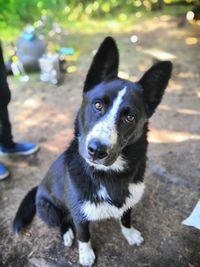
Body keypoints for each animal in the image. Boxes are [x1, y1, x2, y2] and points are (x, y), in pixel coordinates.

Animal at [12, 37, 172, 267]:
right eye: (98, 105)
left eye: (130, 117)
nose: (97, 150)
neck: (109, 176)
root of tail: (38, 187)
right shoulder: (79, 214)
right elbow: (84, 235)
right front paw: (86, 254)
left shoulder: (129, 200)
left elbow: (126, 217)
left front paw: (130, 234)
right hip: (48, 210)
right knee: (63, 222)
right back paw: (66, 234)